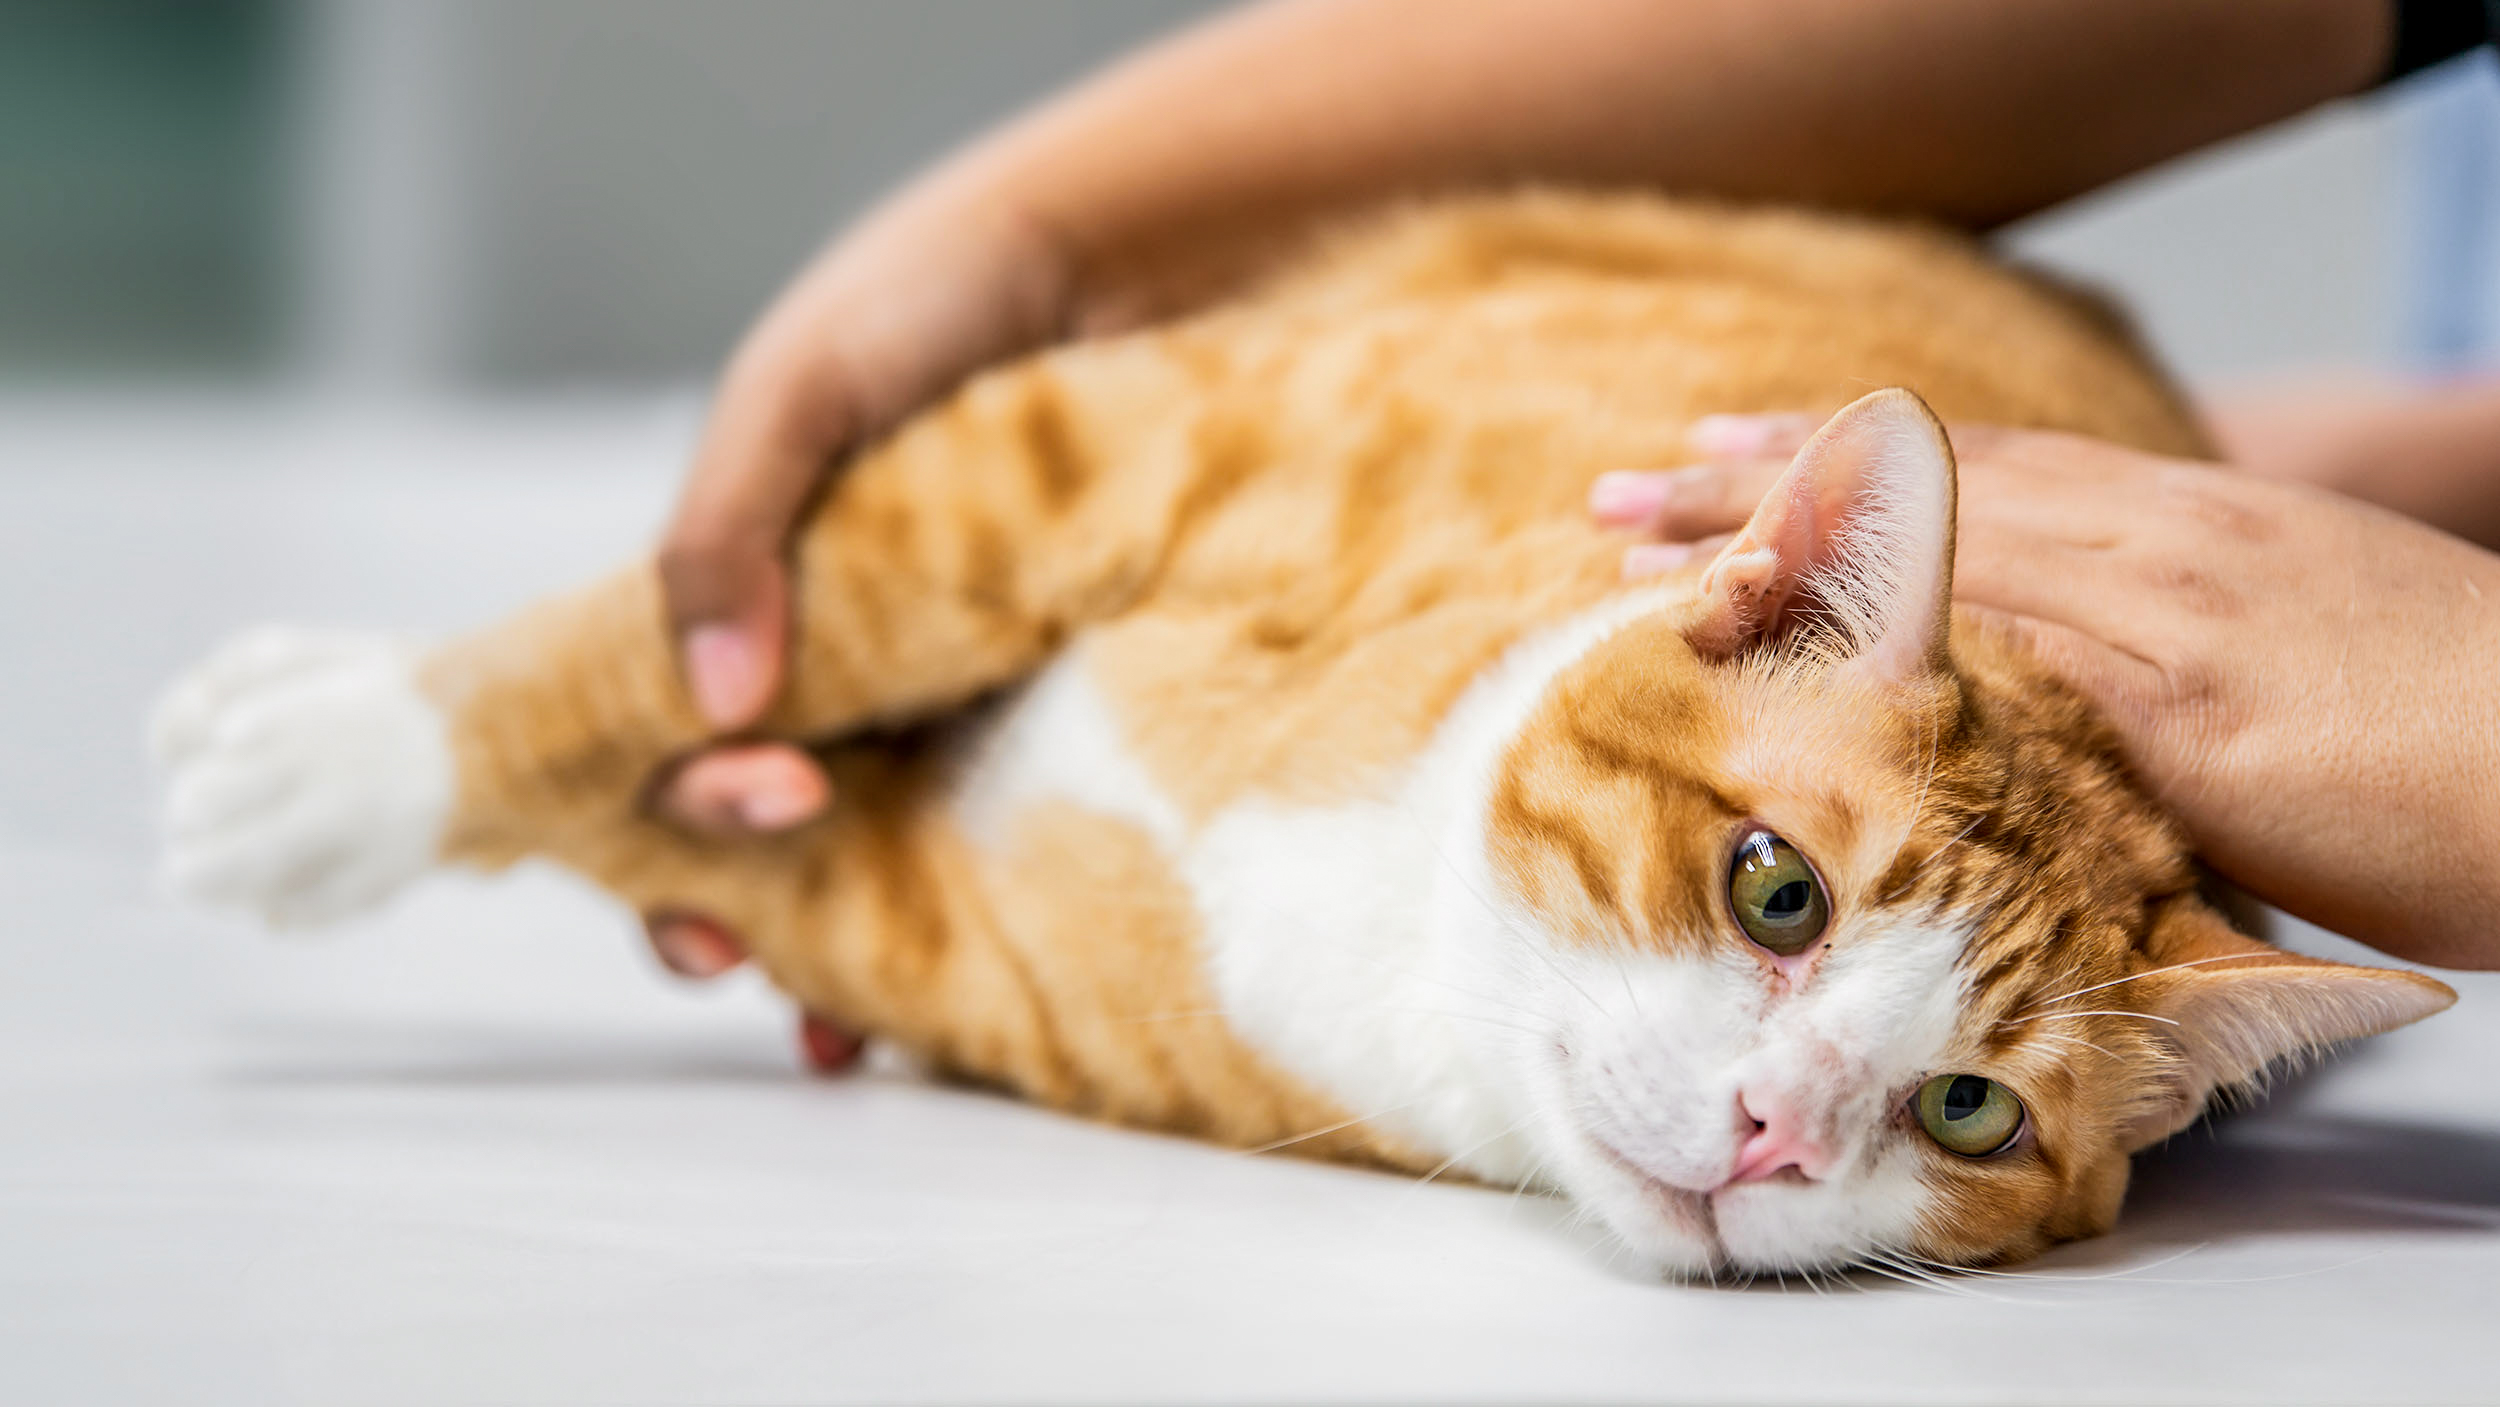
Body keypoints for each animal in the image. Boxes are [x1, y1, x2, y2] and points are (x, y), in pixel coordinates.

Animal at [161, 192, 2460, 1279]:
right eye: (1775, 889)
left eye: (1971, 1112)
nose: (1771, 1136)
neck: (1393, 902)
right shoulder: (1058, 452)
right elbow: (698, 645)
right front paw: (354, 756)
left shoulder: (919, 922)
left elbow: (698, 826)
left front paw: (347, 773)